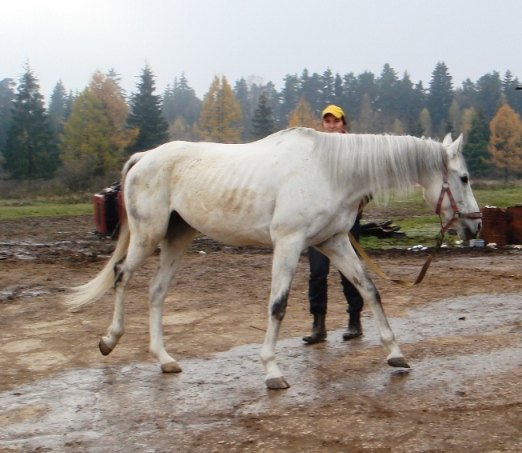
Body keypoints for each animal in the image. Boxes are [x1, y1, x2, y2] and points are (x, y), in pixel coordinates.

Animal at [67, 127, 482, 388]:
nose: (476, 226)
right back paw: (110, 340)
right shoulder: (288, 244)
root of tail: (144, 158)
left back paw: (164, 359)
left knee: (156, 292)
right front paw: (271, 371)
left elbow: (368, 289)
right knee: (122, 275)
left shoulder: (333, 242)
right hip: (148, 235)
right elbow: (278, 305)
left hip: (177, 237)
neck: (329, 171)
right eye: (463, 178)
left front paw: (395, 354)